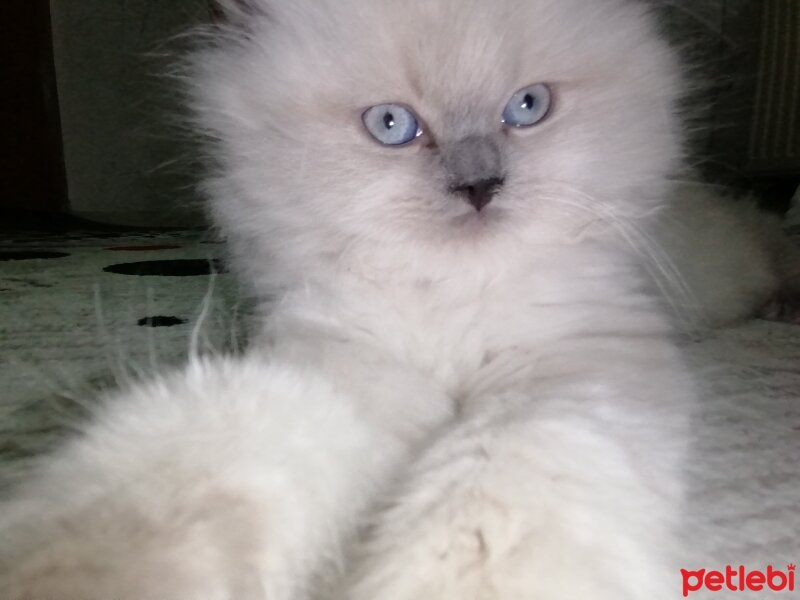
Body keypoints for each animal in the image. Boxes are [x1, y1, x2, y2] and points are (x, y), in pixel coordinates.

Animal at [0, 0, 792, 596]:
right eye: (392, 126)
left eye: (527, 108)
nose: (480, 188)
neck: (456, 307)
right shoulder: (345, 363)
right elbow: (192, 469)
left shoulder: (574, 366)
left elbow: (503, 487)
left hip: (736, 257)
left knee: (773, 240)